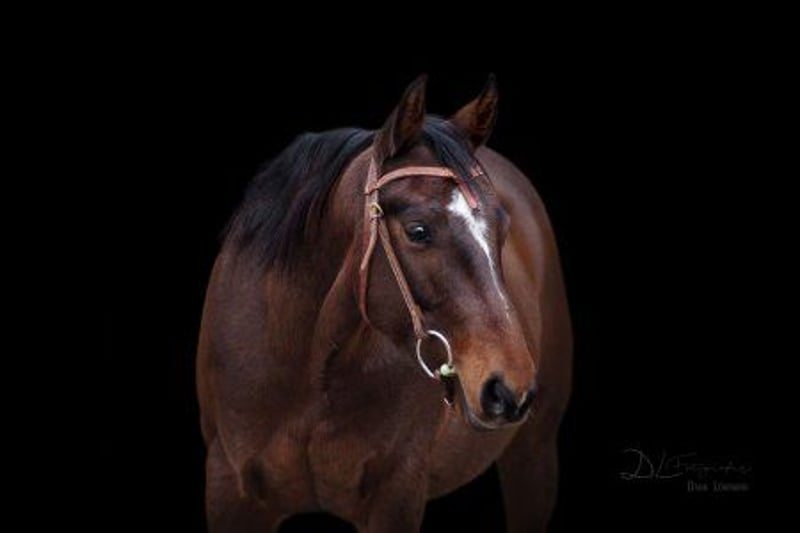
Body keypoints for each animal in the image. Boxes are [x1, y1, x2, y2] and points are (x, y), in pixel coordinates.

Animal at [196, 75, 572, 532]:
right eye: (417, 230)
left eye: (502, 228)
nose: (510, 387)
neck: (310, 370)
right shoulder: (229, 490)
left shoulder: (396, 495)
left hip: (533, 453)